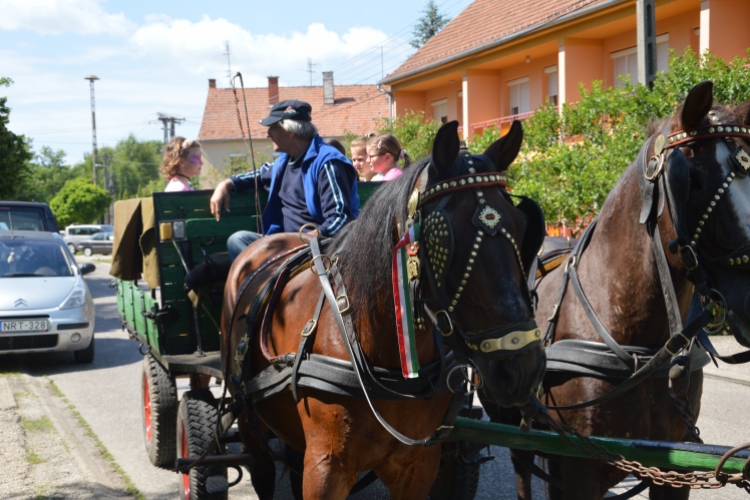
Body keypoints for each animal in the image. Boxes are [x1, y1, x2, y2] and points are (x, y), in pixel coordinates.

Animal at [220, 122, 548, 500]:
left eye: (523, 226)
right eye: (444, 236)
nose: (522, 368)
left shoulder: (418, 465)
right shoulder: (325, 470)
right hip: (248, 421)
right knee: (261, 468)